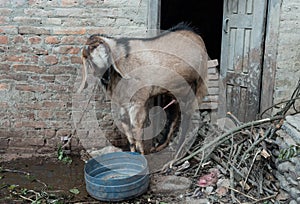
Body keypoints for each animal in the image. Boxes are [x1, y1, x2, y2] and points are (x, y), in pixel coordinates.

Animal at [78, 24, 207, 155]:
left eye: (106, 54)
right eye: (90, 59)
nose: (105, 77)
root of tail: (197, 37)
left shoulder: (138, 102)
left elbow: (137, 130)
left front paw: (141, 154)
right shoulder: (121, 105)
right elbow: (129, 134)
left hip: (197, 86)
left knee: (188, 116)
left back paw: (179, 151)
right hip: (176, 90)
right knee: (175, 113)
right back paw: (161, 146)